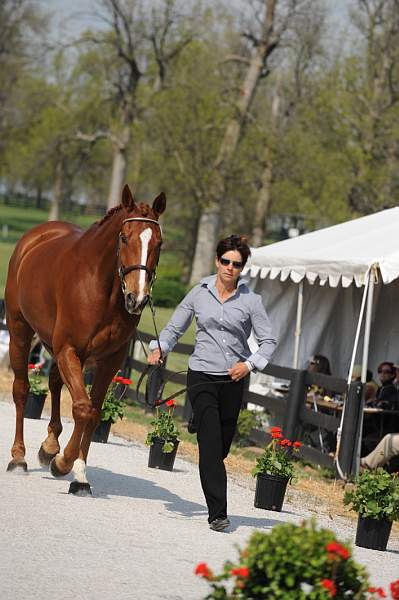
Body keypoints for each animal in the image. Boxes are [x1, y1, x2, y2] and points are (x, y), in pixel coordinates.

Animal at [5, 185, 164, 494]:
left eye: (159, 243)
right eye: (124, 237)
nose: (137, 299)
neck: (101, 286)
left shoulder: (110, 359)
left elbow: (94, 411)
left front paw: (79, 475)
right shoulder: (69, 349)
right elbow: (82, 407)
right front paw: (63, 463)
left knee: (54, 381)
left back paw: (49, 446)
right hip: (20, 331)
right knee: (21, 389)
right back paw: (19, 458)